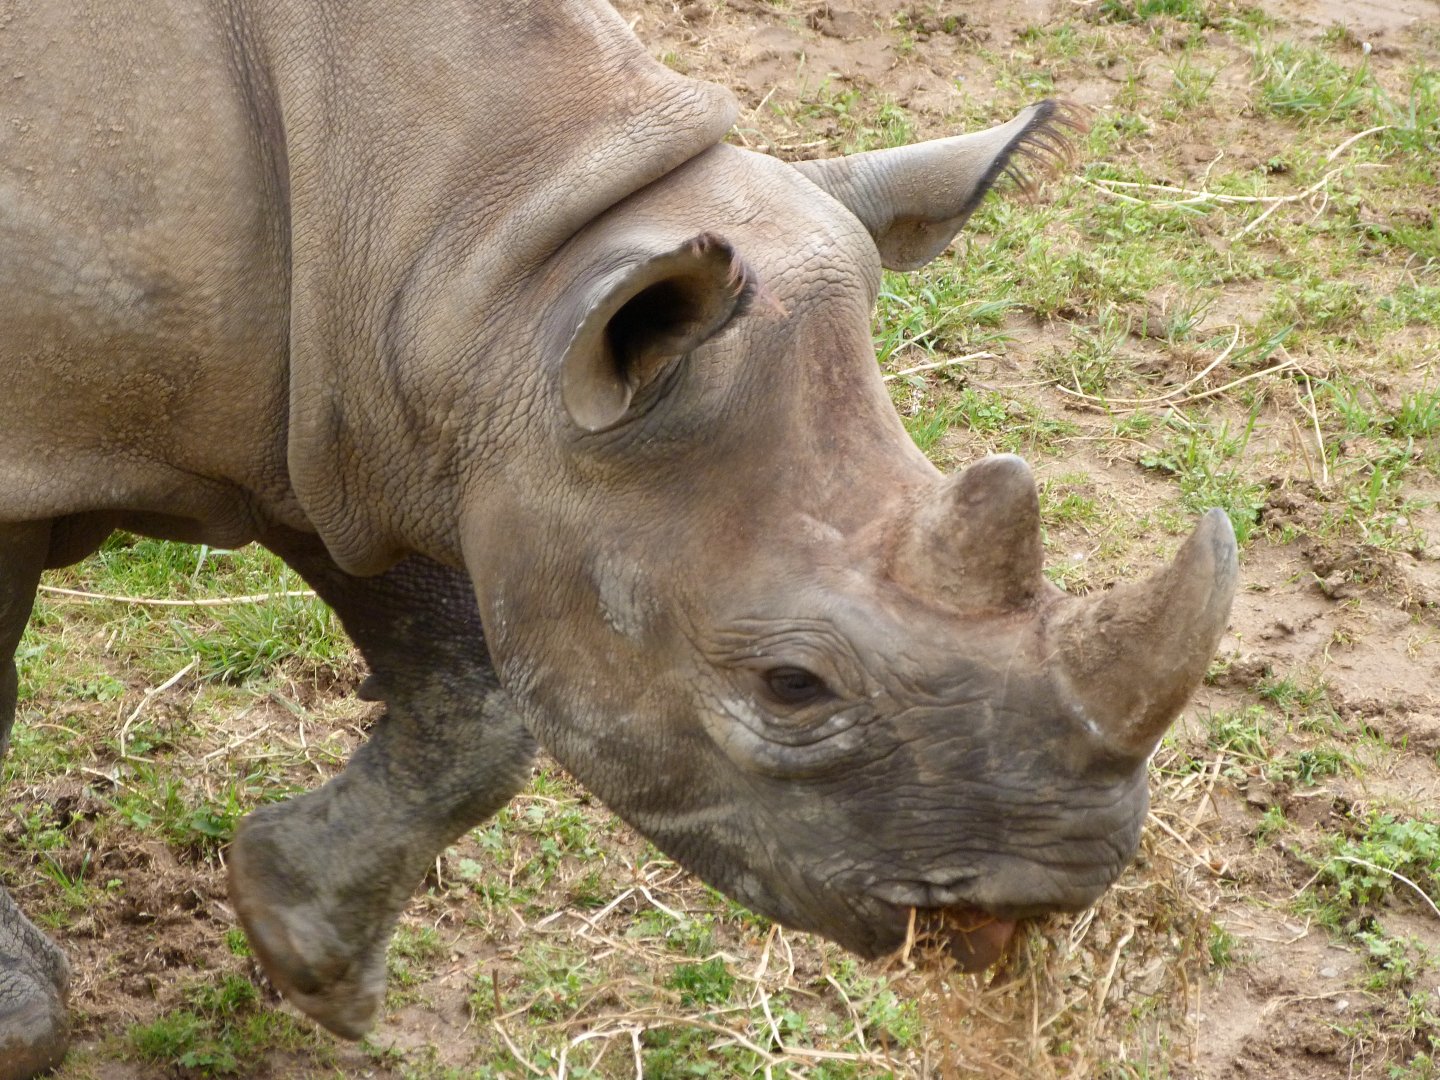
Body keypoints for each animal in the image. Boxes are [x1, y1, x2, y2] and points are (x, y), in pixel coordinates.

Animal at [0, 0, 1239, 1073]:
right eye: (792, 687)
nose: (1044, 892)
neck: (503, 245)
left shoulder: (371, 407)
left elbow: (477, 700)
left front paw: (309, 954)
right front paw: (23, 1021)